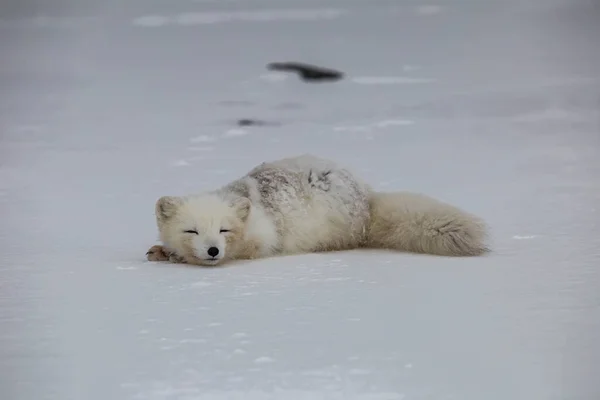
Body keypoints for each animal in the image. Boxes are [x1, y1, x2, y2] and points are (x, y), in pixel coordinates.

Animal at [145, 155, 488, 268]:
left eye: (224, 230)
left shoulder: (264, 239)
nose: (213, 250)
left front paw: (176, 256)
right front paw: (163, 250)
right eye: (191, 230)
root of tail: (367, 196)